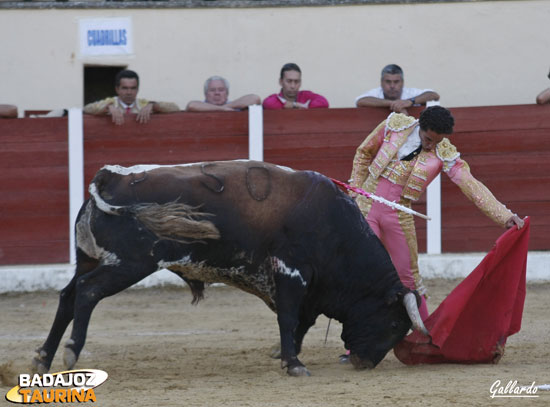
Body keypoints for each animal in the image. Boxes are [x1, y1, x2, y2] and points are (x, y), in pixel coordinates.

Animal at [34, 161, 430, 378]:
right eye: (394, 324)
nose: (365, 363)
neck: (334, 226)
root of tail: (108, 178)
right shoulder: (292, 271)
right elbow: (289, 318)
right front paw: (293, 364)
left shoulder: (304, 286)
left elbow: (301, 322)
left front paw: (284, 355)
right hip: (128, 263)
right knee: (87, 292)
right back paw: (70, 353)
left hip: (90, 258)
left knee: (68, 296)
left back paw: (43, 358)